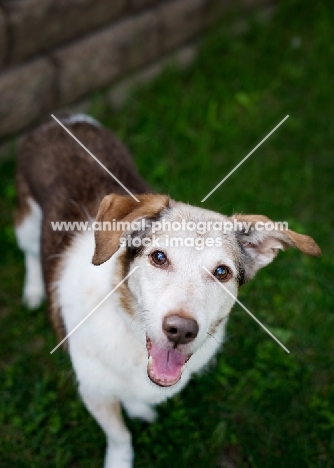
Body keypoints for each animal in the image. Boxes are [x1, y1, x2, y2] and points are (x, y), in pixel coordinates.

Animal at [15, 114, 320, 468]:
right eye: (159, 257)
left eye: (222, 272)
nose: (181, 330)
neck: (131, 336)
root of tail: (65, 119)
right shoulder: (94, 392)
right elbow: (120, 436)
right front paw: (120, 459)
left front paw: (138, 408)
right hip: (26, 222)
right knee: (30, 252)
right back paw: (33, 290)